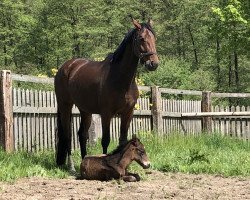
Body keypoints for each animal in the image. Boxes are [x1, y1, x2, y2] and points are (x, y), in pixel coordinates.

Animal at [54, 16, 158, 171]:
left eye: (154, 38)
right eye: (141, 38)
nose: (153, 64)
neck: (121, 79)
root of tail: (65, 67)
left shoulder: (128, 113)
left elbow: (123, 140)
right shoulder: (106, 114)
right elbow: (106, 140)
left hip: (85, 110)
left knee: (82, 135)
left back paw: (84, 161)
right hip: (65, 105)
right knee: (67, 135)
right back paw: (71, 166)